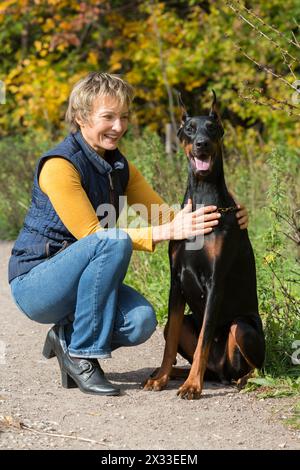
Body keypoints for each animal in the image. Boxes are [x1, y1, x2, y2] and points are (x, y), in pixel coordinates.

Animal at [144, 92, 264, 400]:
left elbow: (204, 339)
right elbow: (170, 343)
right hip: (186, 323)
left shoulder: (215, 283)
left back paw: (241, 379)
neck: (202, 198)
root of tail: (221, 373)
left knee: (258, 365)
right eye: (189, 129)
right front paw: (161, 379)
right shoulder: (176, 282)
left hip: (243, 327)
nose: (201, 144)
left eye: (212, 128)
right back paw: (168, 374)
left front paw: (192, 387)